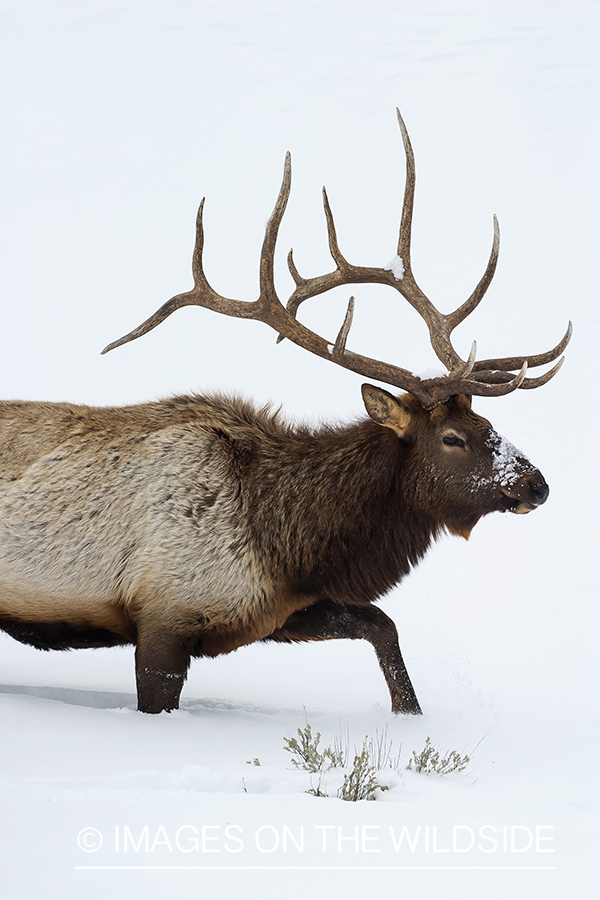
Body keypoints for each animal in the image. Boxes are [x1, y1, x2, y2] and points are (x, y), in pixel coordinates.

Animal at [0, 111, 570, 715]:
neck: (284, 541)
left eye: (488, 424)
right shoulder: (164, 614)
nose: (536, 485)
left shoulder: (278, 611)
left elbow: (382, 625)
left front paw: (410, 715)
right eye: (453, 438)